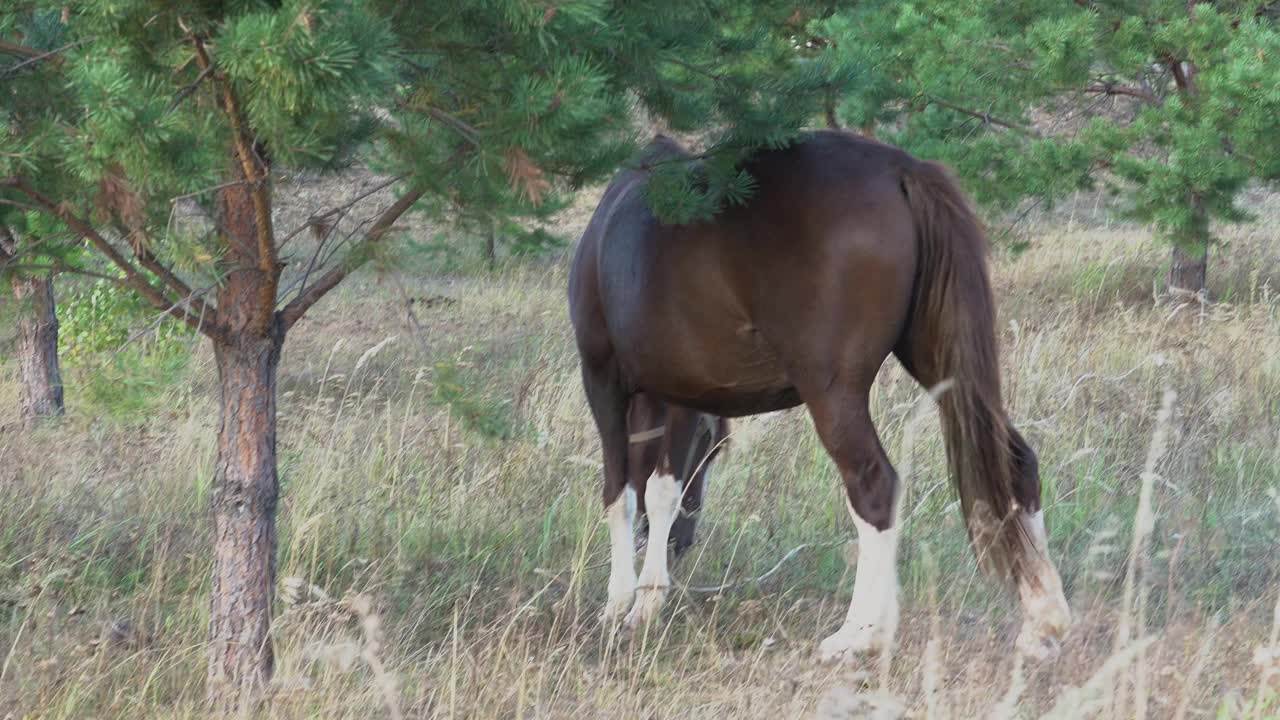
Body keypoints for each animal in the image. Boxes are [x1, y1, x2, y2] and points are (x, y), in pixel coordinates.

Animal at [570, 127, 1070, 655]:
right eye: (713, 450)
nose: (681, 544)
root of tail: (902, 168)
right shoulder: (683, 393)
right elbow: (662, 488)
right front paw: (647, 601)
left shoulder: (602, 380)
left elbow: (620, 490)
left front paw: (619, 602)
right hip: (942, 362)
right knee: (1015, 462)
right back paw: (1044, 617)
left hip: (833, 394)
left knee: (875, 487)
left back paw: (859, 634)